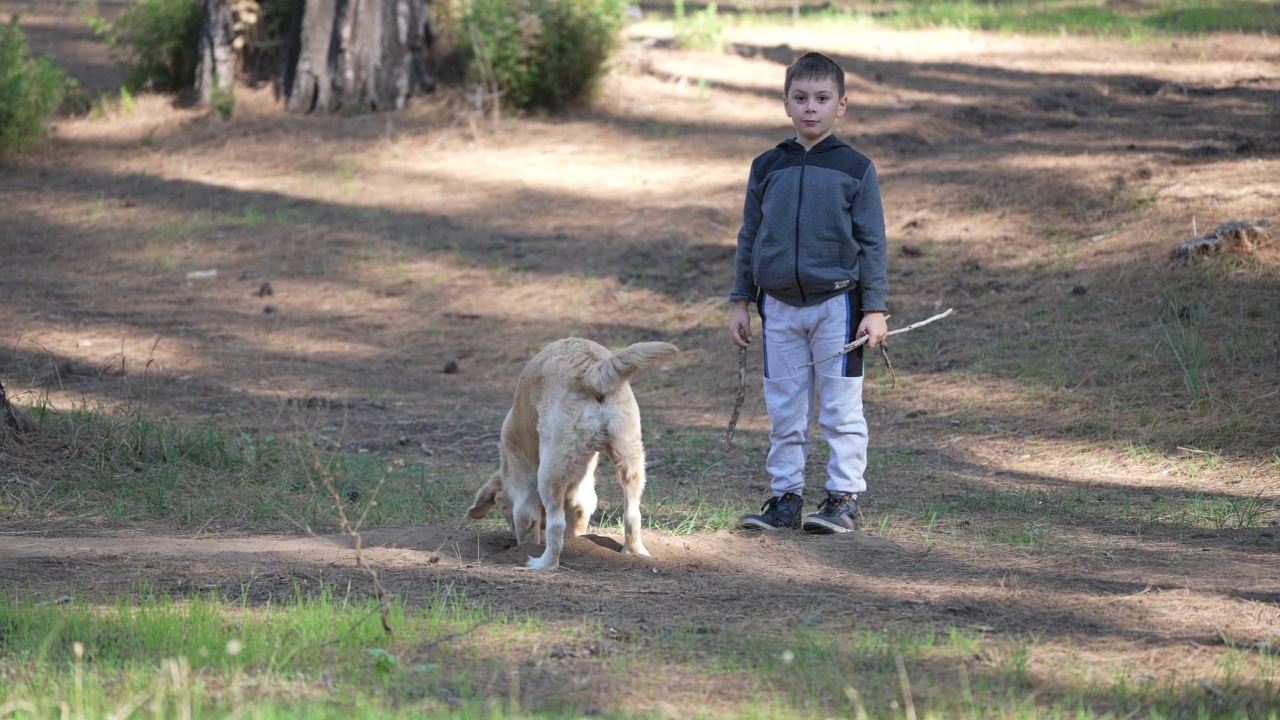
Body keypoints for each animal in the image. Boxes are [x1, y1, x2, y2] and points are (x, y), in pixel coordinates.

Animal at [463, 338, 680, 571]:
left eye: (503, 510)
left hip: (549, 471)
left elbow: (535, 527)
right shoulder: (583, 497)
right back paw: (634, 553)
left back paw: (542, 564)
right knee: (632, 515)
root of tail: (589, 369)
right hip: (630, 458)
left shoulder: (524, 500)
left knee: (556, 526)